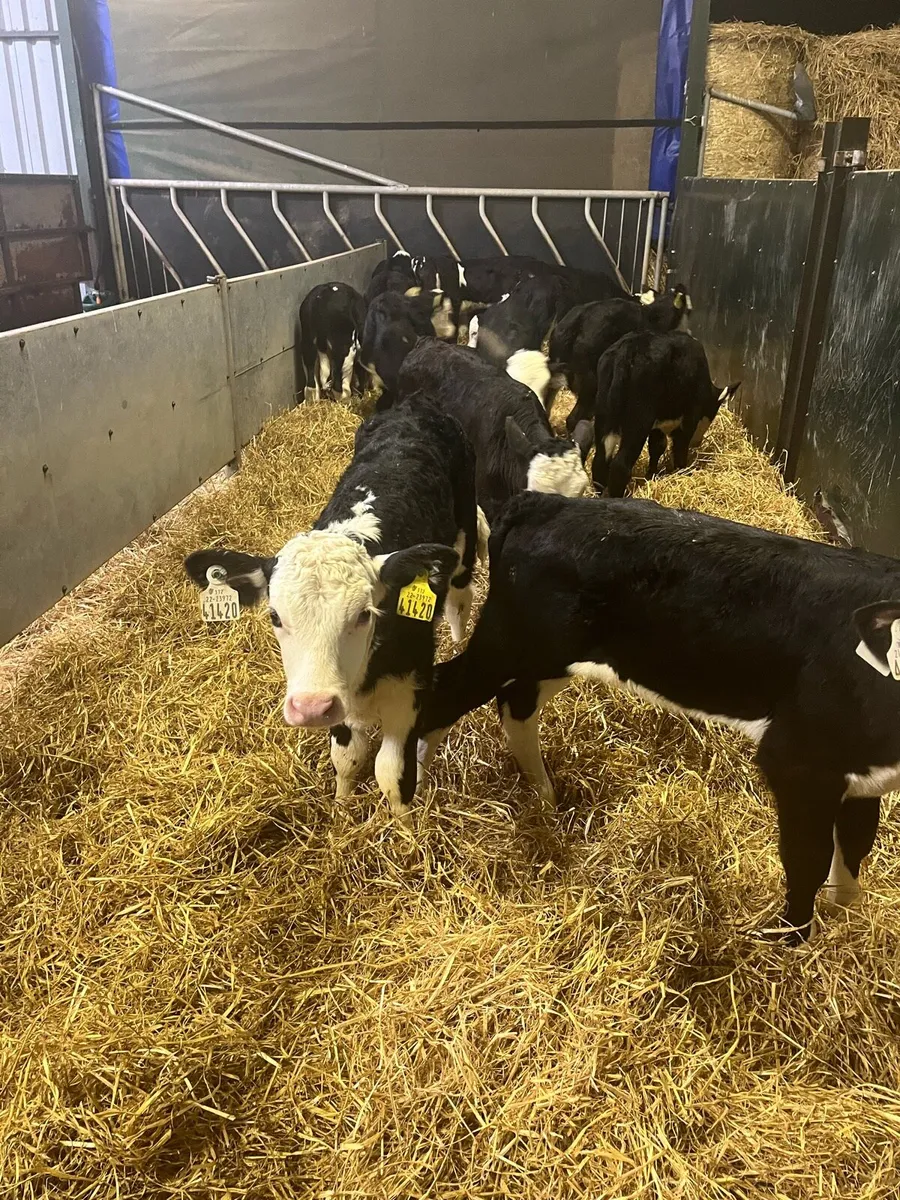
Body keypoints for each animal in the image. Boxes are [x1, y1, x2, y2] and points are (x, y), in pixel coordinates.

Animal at [184, 397, 480, 823]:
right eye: (275, 617)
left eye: (363, 615)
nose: (311, 708)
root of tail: (414, 406)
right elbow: (347, 756)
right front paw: (341, 810)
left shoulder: (411, 689)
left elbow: (392, 772)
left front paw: (406, 830)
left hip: (464, 538)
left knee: (459, 596)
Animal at [418, 490, 900, 942]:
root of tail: (545, 502)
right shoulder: (799, 762)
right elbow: (808, 860)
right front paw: (790, 940)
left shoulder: (862, 775)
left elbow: (857, 841)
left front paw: (844, 916)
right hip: (512, 642)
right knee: (440, 697)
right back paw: (416, 809)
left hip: (555, 657)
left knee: (516, 706)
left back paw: (545, 799)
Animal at [591, 330, 740, 497]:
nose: (698, 442)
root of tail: (626, 351)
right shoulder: (690, 417)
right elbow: (679, 448)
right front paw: (684, 472)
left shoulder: (657, 424)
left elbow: (657, 447)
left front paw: (651, 474)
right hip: (638, 421)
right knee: (620, 465)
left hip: (604, 416)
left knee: (600, 461)